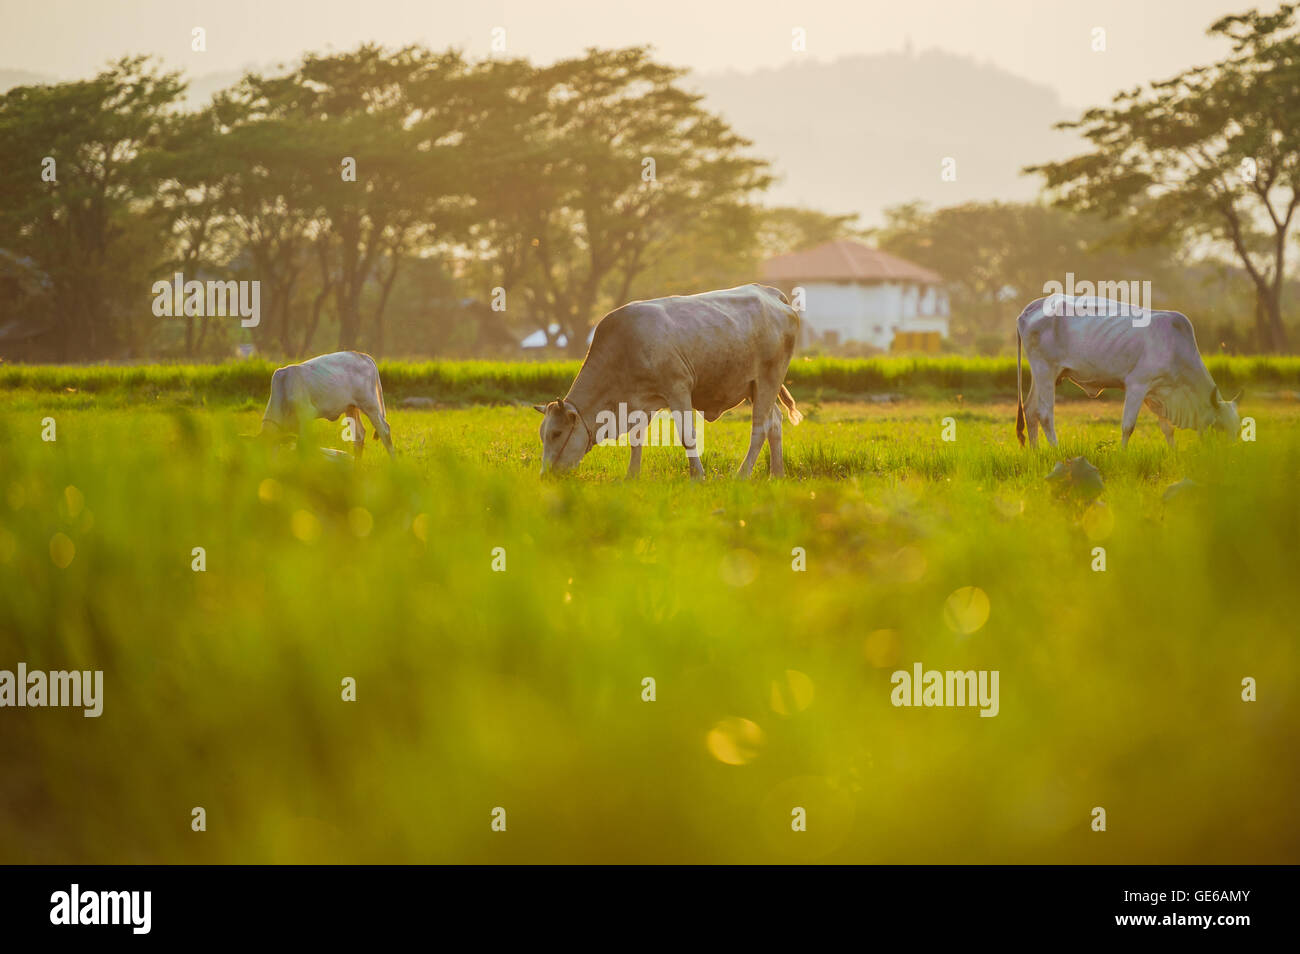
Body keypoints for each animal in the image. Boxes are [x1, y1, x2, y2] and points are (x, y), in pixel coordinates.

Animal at [258, 350, 390, 460]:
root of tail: (362, 355)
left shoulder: (307, 416)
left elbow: (302, 447)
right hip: (351, 407)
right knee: (359, 435)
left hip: (370, 405)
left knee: (385, 431)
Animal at [530, 282, 795, 478]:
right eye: (543, 435)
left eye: (556, 433)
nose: (545, 475)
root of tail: (770, 292)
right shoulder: (640, 403)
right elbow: (636, 440)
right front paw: (631, 476)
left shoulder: (678, 388)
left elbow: (687, 435)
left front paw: (697, 476)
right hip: (756, 387)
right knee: (775, 423)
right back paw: (777, 475)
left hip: (768, 379)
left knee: (760, 428)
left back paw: (742, 475)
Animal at [1013, 295, 1237, 452]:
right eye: (1221, 428)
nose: (1231, 458)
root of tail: (1031, 308)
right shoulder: (1137, 385)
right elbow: (1128, 426)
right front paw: (1122, 454)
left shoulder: (1159, 392)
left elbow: (1167, 429)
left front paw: (1173, 452)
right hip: (1045, 370)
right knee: (1044, 414)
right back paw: (1056, 450)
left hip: (1042, 374)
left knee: (1030, 410)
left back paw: (1036, 452)